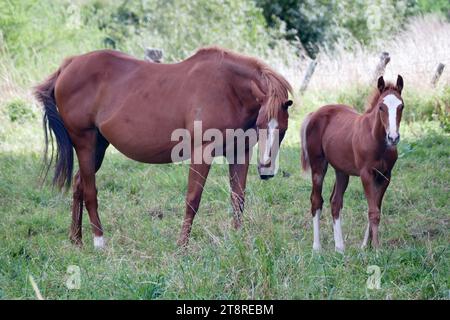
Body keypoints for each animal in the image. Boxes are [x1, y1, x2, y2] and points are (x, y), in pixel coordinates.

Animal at [34, 47, 292, 248]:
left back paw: (76, 240)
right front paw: (181, 247)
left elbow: (238, 199)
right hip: (85, 142)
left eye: (282, 130)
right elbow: (193, 199)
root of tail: (68, 66)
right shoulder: (202, 152)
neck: (228, 88)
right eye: (261, 124)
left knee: (79, 183)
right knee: (89, 190)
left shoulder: (239, 153)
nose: (266, 170)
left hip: (98, 146)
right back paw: (99, 242)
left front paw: (238, 241)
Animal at [302, 75, 404, 252]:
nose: (393, 137)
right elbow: (373, 212)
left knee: (335, 202)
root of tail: (315, 113)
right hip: (318, 166)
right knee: (316, 200)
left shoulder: (385, 176)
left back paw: (340, 247)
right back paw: (317, 247)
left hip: (341, 171)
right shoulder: (366, 175)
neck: (376, 140)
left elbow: (376, 208)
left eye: (401, 106)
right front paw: (376, 249)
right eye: (381, 107)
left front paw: (366, 246)